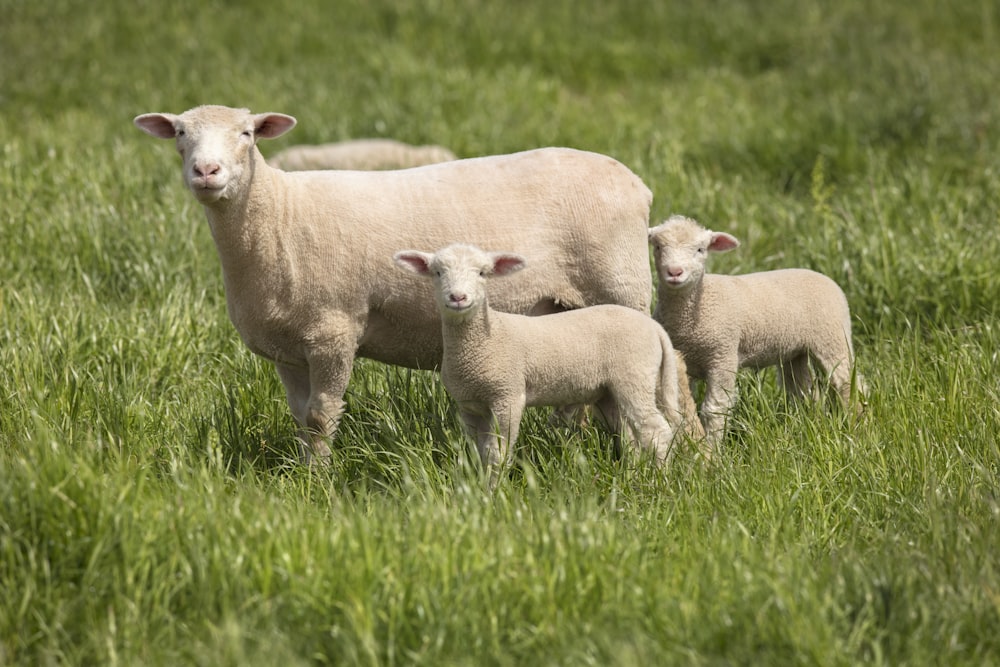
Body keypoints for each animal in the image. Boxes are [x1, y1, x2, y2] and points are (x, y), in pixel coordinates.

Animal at [133, 107, 656, 468]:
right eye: (181, 133)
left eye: (246, 134)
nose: (207, 172)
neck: (279, 213)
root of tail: (636, 182)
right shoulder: (287, 348)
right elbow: (301, 417)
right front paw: (301, 471)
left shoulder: (333, 331)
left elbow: (321, 416)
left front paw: (319, 480)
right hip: (562, 313)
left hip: (621, 288)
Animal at [394, 243, 692, 482]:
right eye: (437, 273)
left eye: (482, 273)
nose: (458, 298)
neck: (484, 340)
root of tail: (655, 329)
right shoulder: (470, 404)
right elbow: (478, 451)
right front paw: (478, 486)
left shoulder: (508, 395)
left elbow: (498, 452)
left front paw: (494, 490)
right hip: (609, 391)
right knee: (629, 436)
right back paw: (632, 476)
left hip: (635, 375)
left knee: (656, 431)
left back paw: (660, 480)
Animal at [644, 214, 864, 446]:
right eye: (658, 247)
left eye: (700, 249)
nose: (674, 272)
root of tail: (825, 278)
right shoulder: (681, 360)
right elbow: (683, 404)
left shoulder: (723, 356)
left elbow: (715, 409)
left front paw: (713, 449)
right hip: (796, 351)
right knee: (804, 389)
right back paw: (808, 422)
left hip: (832, 338)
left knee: (847, 382)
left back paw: (857, 423)